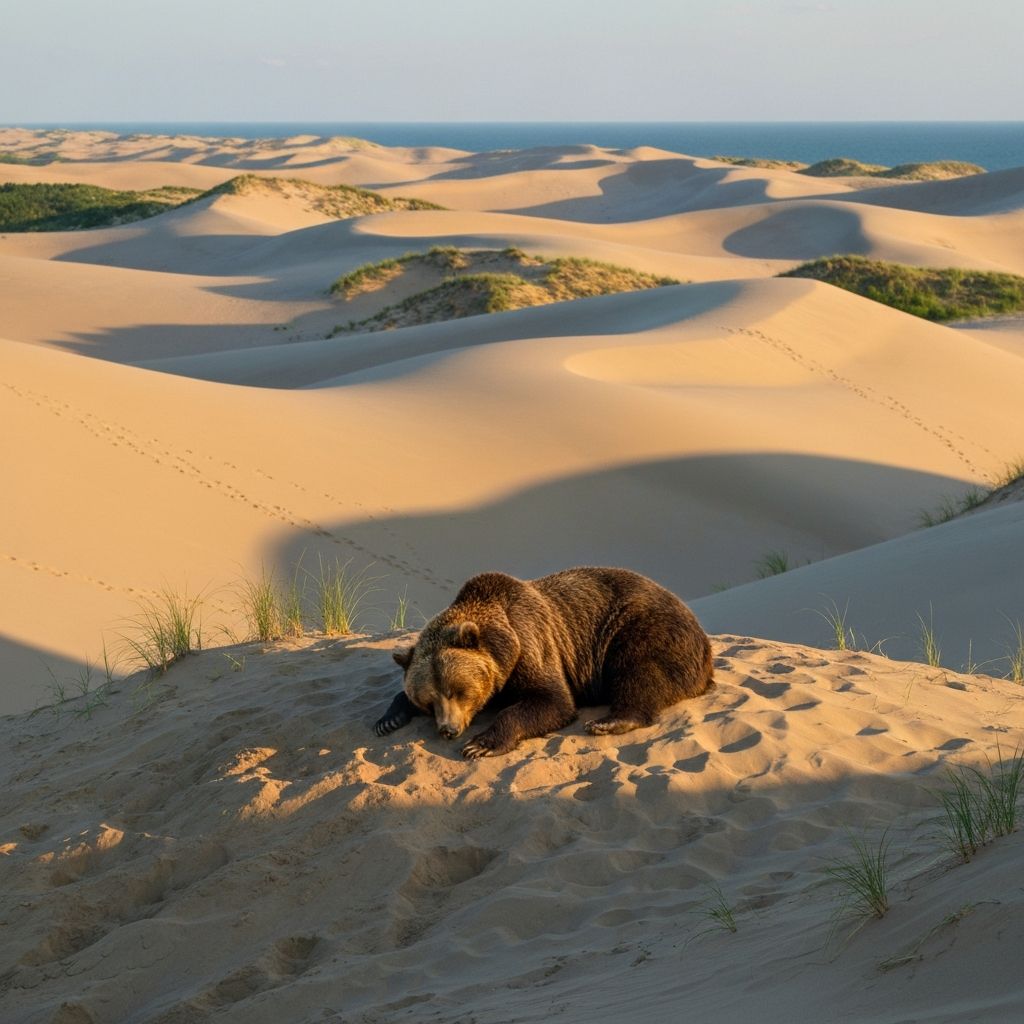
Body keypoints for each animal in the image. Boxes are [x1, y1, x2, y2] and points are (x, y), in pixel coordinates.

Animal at [373, 566, 714, 758]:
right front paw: (387, 719)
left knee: (640, 671)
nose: (448, 729)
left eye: (458, 691)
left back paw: (609, 721)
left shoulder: (532, 644)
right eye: (428, 700)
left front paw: (481, 744)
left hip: (642, 629)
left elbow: (552, 701)